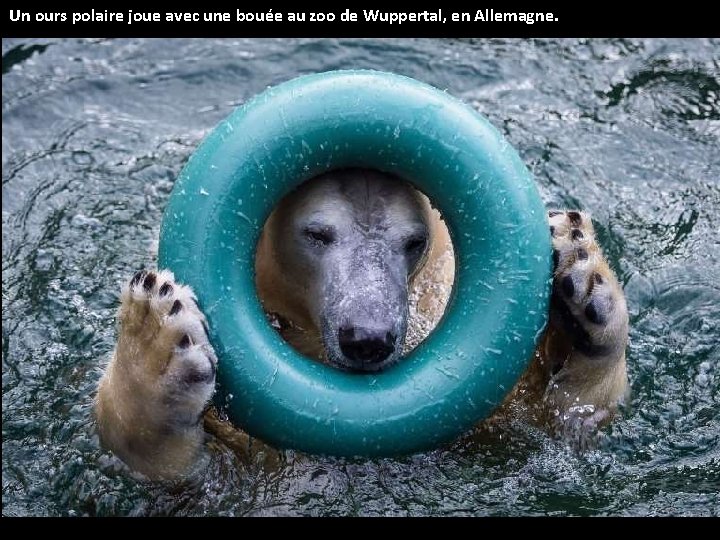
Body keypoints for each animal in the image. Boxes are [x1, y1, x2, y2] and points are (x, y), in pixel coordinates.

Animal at [97, 168, 632, 476]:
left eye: (414, 240)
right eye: (316, 233)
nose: (367, 339)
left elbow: (555, 422)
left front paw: (582, 278)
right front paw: (156, 335)